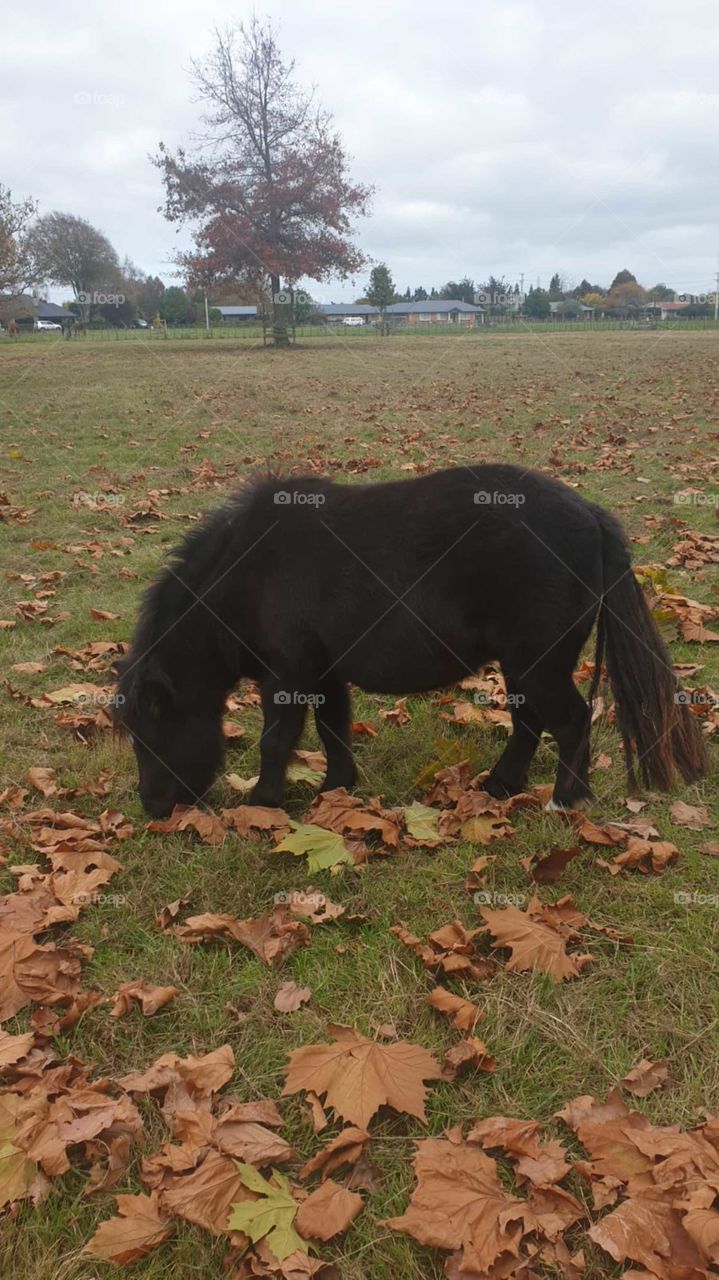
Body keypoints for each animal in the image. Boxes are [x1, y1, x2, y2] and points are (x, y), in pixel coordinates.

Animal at [113, 465, 706, 814]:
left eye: (151, 732)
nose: (153, 807)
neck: (253, 570)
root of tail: (592, 518)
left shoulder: (288, 674)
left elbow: (276, 741)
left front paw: (263, 803)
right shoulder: (324, 672)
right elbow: (333, 730)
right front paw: (336, 788)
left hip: (539, 665)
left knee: (570, 722)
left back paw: (567, 799)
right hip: (521, 666)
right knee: (529, 724)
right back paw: (501, 786)